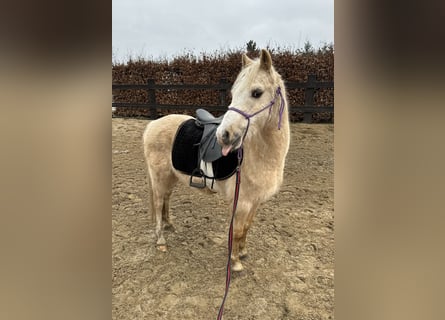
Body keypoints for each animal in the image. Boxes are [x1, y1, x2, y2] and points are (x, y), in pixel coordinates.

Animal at [141, 48, 288, 272]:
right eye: (233, 93)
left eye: (257, 92)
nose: (224, 135)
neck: (260, 155)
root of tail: (152, 125)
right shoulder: (242, 202)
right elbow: (237, 231)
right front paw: (235, 262)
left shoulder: (255, 202)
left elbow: (247, 227)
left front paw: (243, 252)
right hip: (159, 177)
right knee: (158, 203)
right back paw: (161, 240)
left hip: (170, 177)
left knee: (166, 198)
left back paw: (169, 225)